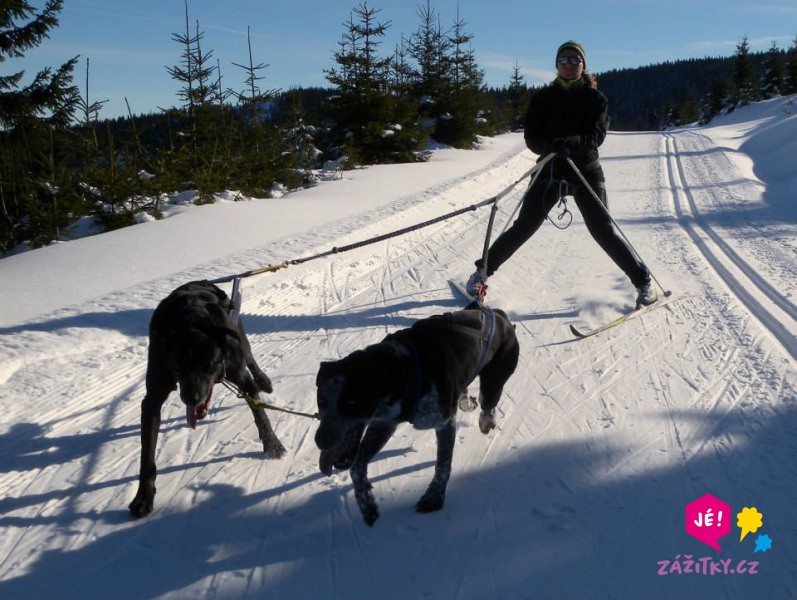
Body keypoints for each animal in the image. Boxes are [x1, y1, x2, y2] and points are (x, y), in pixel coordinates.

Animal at [126, 278, 282, 516]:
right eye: (177, 368)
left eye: (208, 366)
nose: (191, 398)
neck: (189, 321)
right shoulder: (152, 399)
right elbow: (147, 457)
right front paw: (143, 496)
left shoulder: (241, 377)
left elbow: (260, 415)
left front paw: (272, 444)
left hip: (239, 335)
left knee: (249, 356)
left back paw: (263, 380)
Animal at [314, 304, 520, 524]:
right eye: (322, 401)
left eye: (352, 402)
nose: (320, 441)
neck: (402, 370)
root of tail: (498, 315)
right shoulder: (384, 424)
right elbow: (357, 467)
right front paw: (366, 502)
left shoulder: (444, 423)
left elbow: (443, 465)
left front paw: (434, 497)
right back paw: (467, 401)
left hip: (493, 381)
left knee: (488, 404)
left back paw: (485, 421)